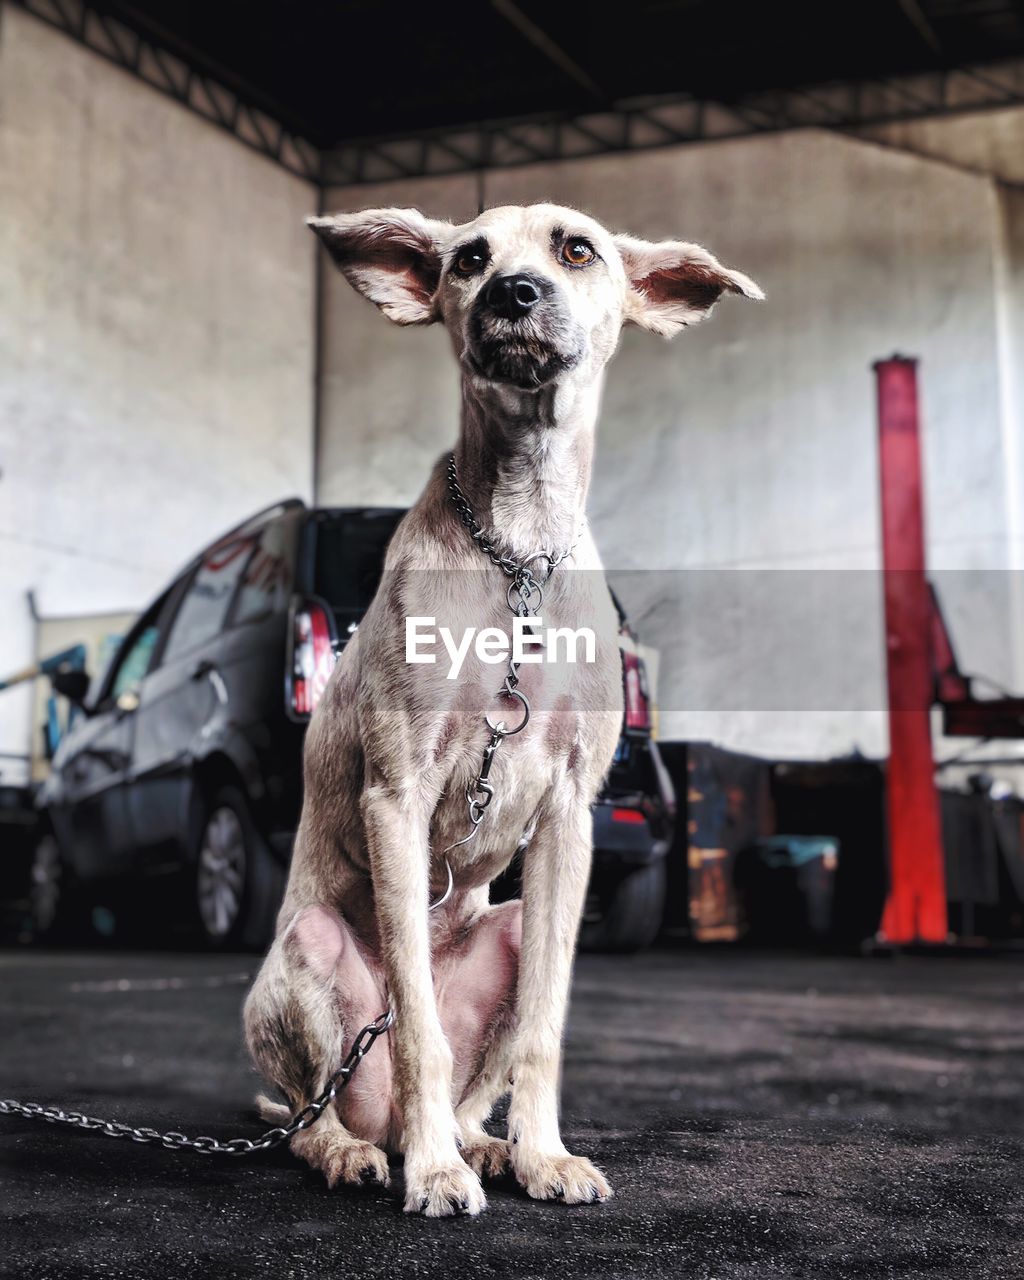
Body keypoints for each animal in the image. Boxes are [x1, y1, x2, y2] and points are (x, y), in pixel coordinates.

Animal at [245, 202, 757, 1218]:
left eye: (577, 249)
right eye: (470, 258)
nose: (513, 293)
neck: (516, 544)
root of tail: (374, 1120)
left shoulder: (570, 817)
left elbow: (544, 1029)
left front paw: (541, 1155)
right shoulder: (397, 797)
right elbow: (417, 1028)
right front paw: (436, 1177)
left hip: (512, 925)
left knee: (470, 1078)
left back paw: (480, 1144)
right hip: (307, 964)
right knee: (314, 1115)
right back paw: (374, 1151)